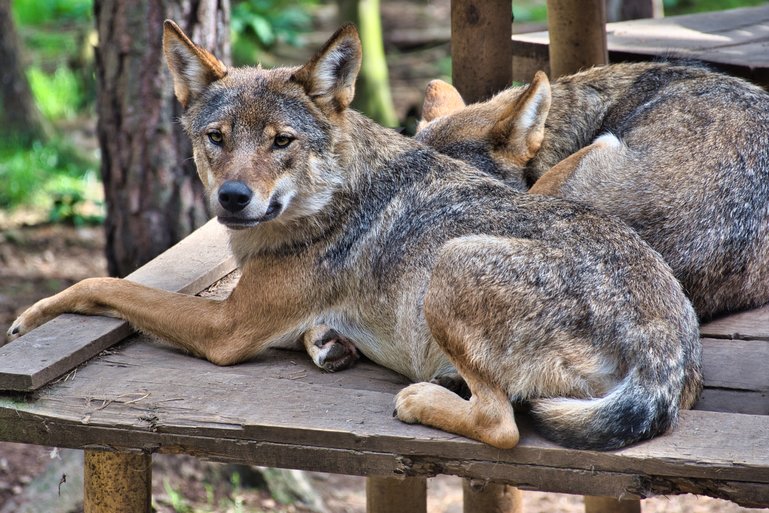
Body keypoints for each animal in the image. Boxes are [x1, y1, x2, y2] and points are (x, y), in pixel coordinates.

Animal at [7, 23, 704, 448]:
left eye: (281, 141)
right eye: (217, 138)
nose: (232, 198)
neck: (331, 198)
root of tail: (665, 349)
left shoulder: (225, 329)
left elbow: (104, 282)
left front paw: (30, 316)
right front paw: (327, 344)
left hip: (451, 261)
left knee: (502, 422)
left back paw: (420, 398)